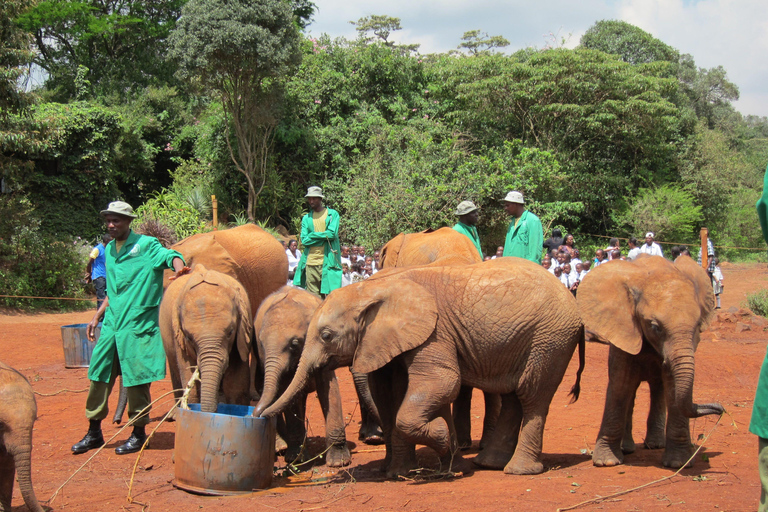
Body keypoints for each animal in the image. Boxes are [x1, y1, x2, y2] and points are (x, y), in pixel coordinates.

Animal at [252, 288, 352, 468]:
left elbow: (328, 387)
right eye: (261, 344)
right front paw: (297, 459)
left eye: (294, 344)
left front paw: (338, 462)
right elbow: (287, 393)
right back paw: (282, 448)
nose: (256, 415)